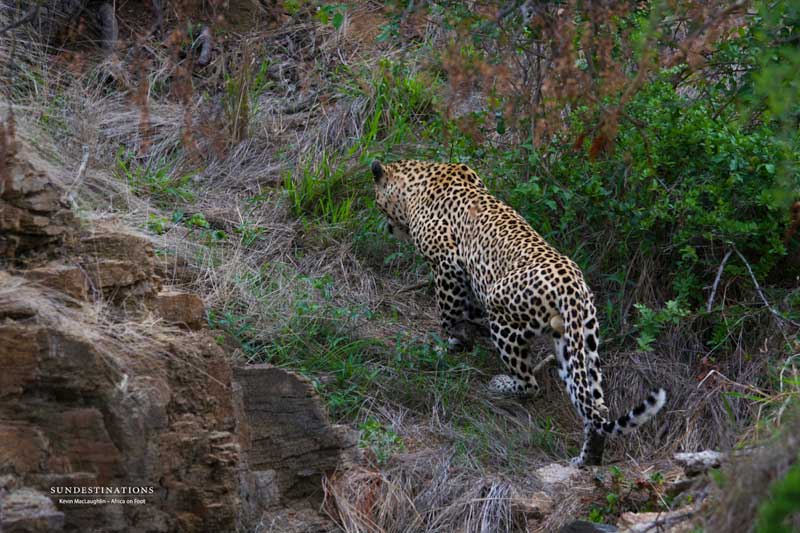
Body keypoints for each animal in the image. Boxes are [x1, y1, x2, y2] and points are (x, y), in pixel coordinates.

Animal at [371, 159, 667, 466]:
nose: (387, 229)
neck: (419, 178)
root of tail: (572, 288)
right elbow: (466, 307)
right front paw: (467, 331)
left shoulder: (447, 263)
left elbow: (449, 312)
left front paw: (454, 342)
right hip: (580, 343)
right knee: (596, 407)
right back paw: (587, 459)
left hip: (504, 316)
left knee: (530, 384)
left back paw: (500, 384)